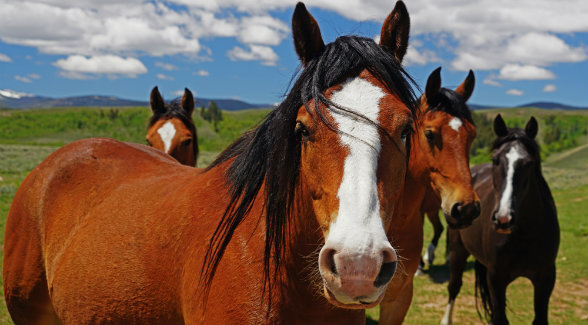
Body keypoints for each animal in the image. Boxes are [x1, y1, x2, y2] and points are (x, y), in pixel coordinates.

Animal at [440, 114, 560, 324]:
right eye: (495, 160)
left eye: (529, 163)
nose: (504, 218)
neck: (525, 235)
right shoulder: (496, 279)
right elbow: (500, 318)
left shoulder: (546, 279)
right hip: (457, 250)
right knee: (454, 286)